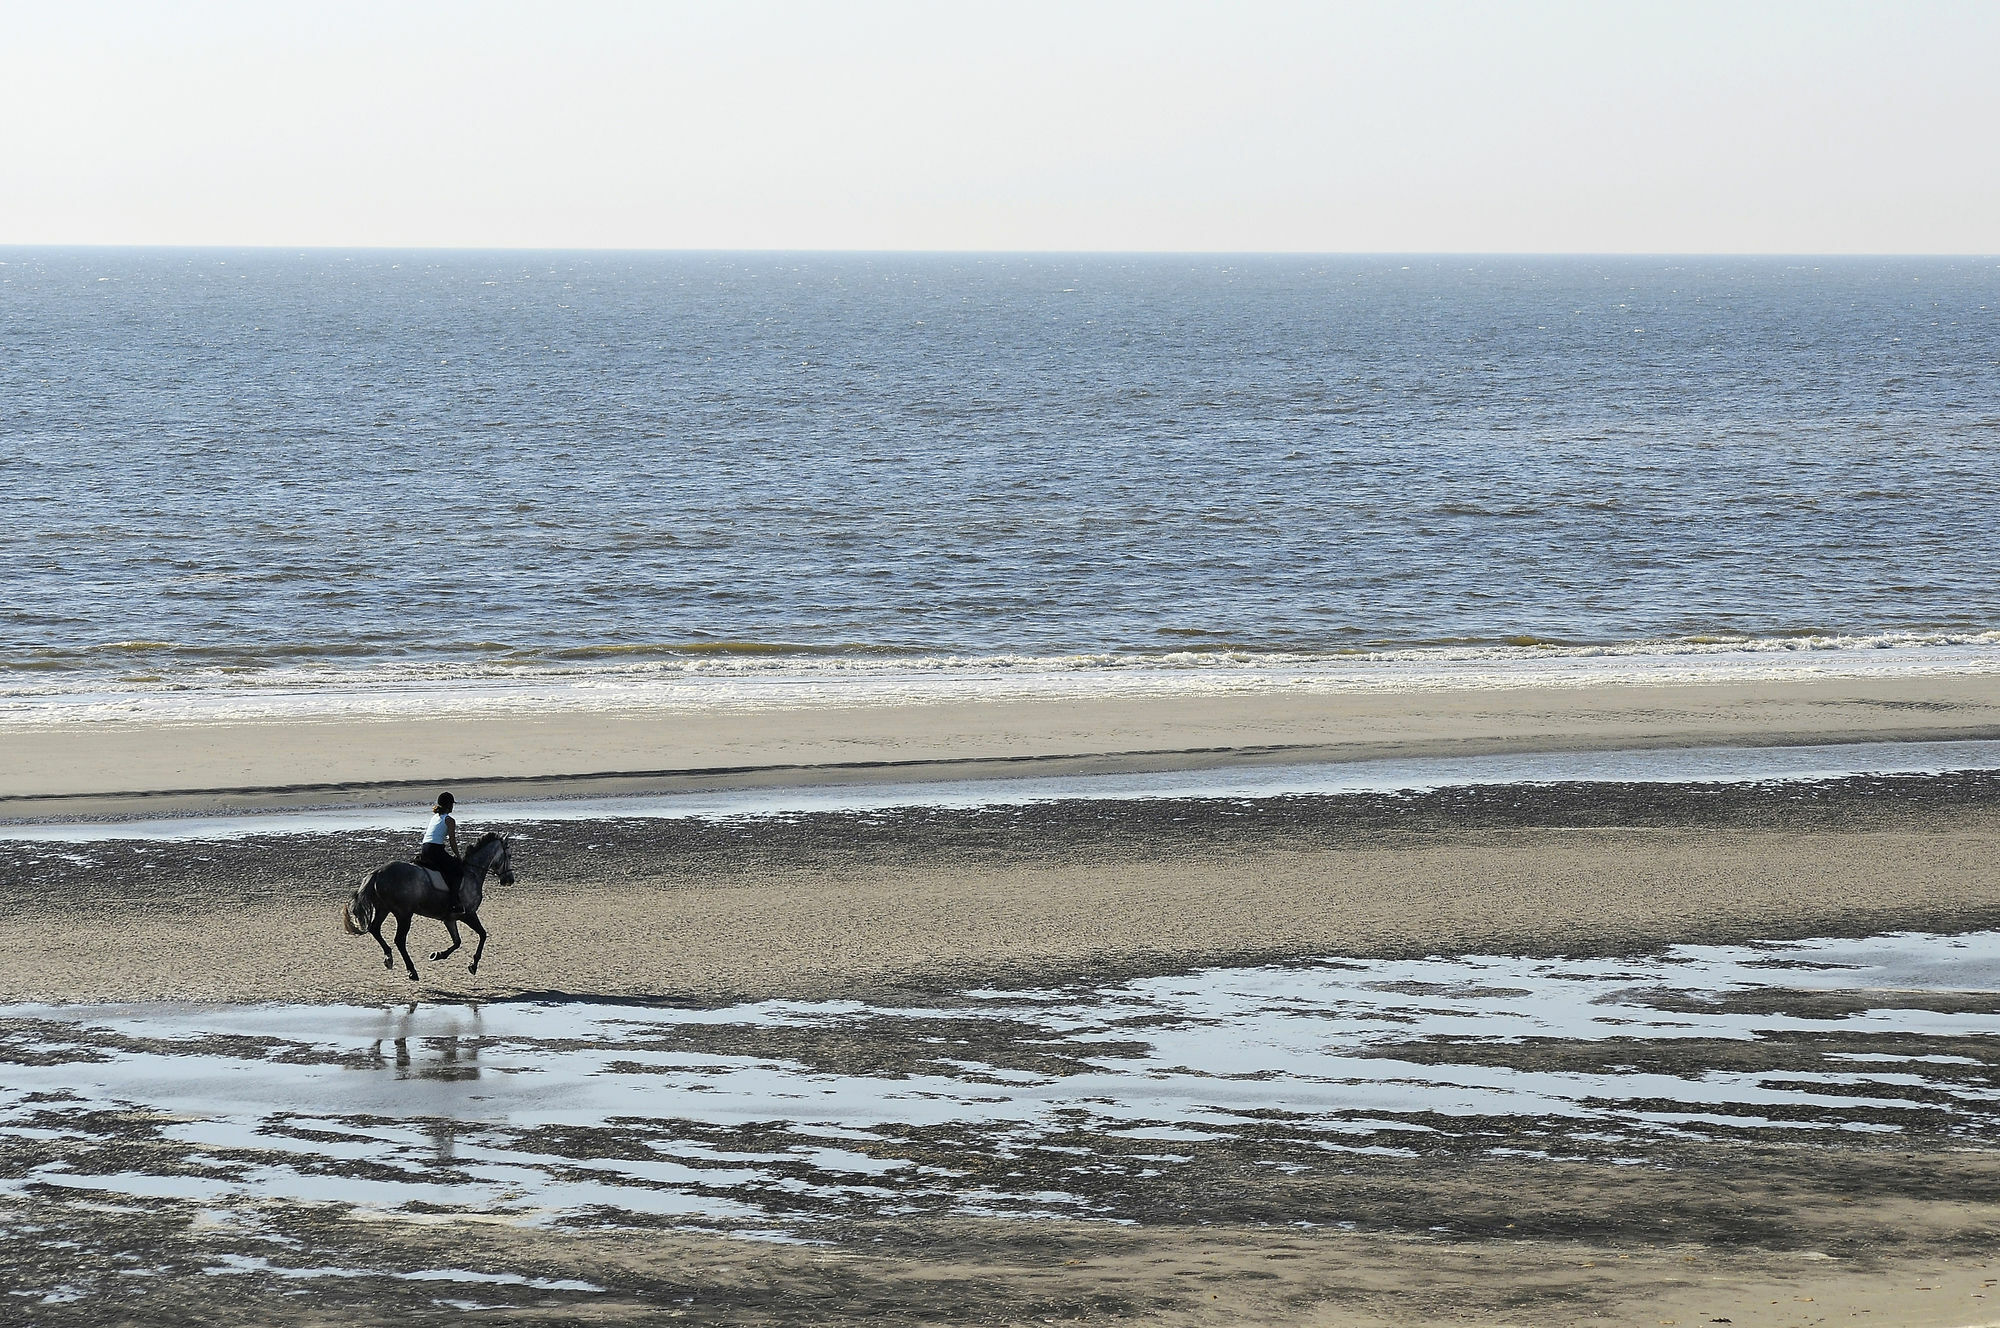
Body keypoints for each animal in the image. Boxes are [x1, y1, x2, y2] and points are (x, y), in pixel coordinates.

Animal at [338, 836, 512, 980]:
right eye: (509, 856)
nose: (509, 879)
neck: (472, 872)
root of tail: (377, 873)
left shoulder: (450, 919)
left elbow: (457, 941)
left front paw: (437, 955)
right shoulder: (468, 914)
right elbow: (482, 935)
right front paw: (473, 965)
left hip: (383, 909)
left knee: (375, 929)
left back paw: (389, 958)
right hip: (403, 914)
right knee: (399, 940)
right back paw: (412, 971)